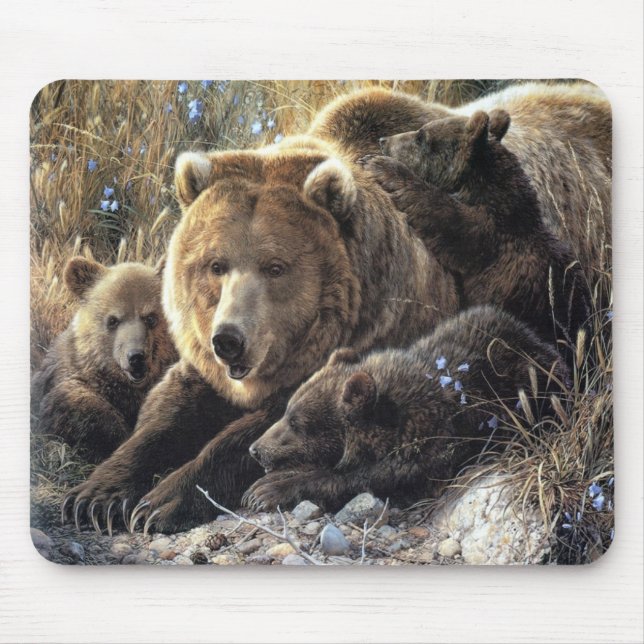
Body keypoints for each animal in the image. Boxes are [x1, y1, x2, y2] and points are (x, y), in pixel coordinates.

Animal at [62, 135, 460, 534]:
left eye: (275, 267)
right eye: (216, 264)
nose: (228, 341)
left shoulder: (356, 349)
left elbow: (265, 433)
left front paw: (159, 503)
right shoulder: (204, 369)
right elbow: (164, 415)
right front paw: (96, 498)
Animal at [243, 305, 569, 512]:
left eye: (296, 423)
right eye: (287, 412)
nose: (255, 450)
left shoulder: (427, 449)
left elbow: (362, 479)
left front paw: (268, 490)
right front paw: (260, 485)